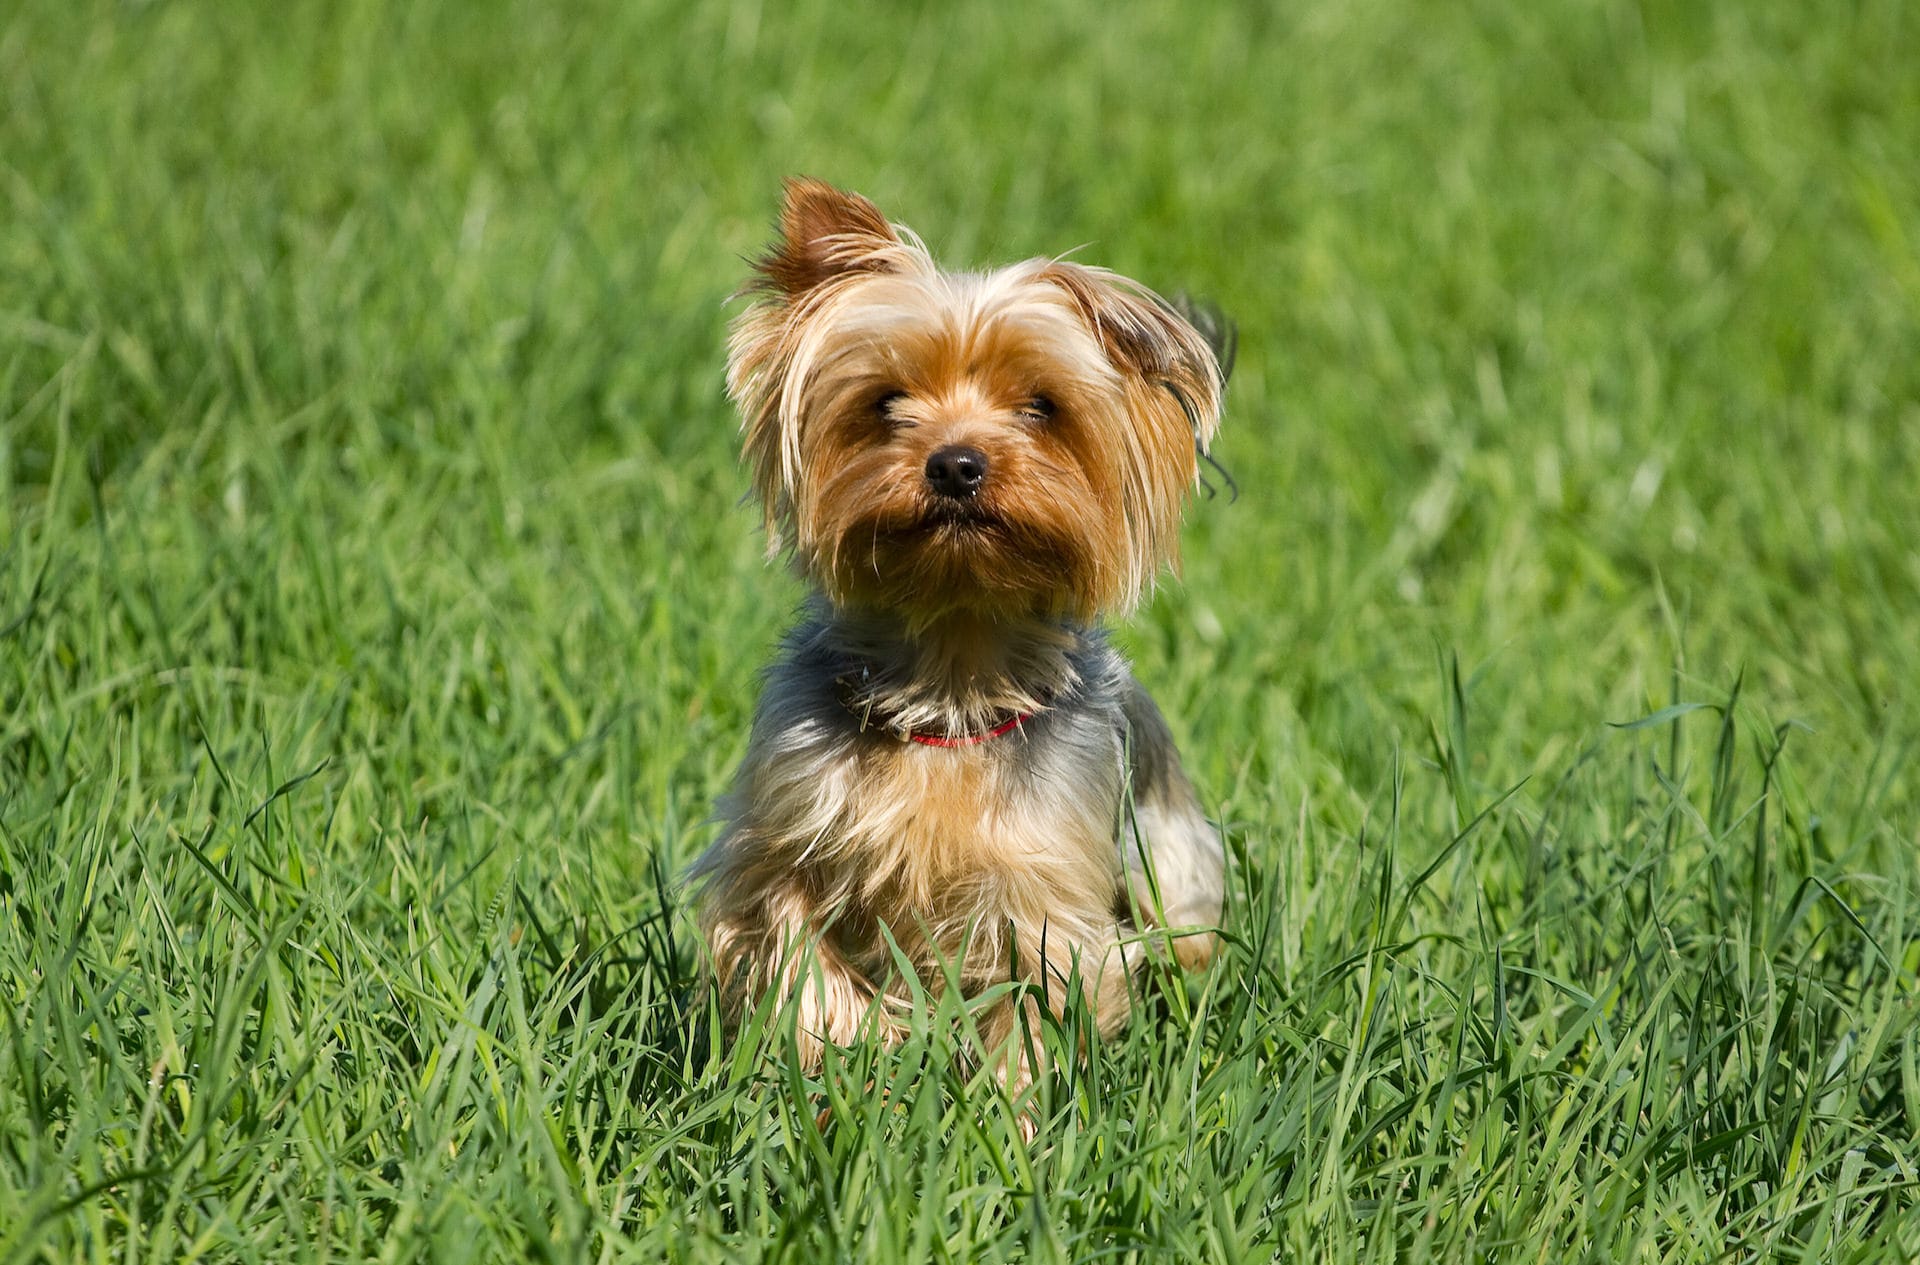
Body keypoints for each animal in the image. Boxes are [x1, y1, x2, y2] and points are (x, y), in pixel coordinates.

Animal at [695, 178, 1228, 1082]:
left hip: (1174, 865)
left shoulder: (1040, 887)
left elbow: (1036, 1004)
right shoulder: (784, 830)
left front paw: (1008, 1107)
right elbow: (793, 946)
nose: (955, 463)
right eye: (887, 403)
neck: (953, 669)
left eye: (1041, 406)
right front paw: (843, 1055)